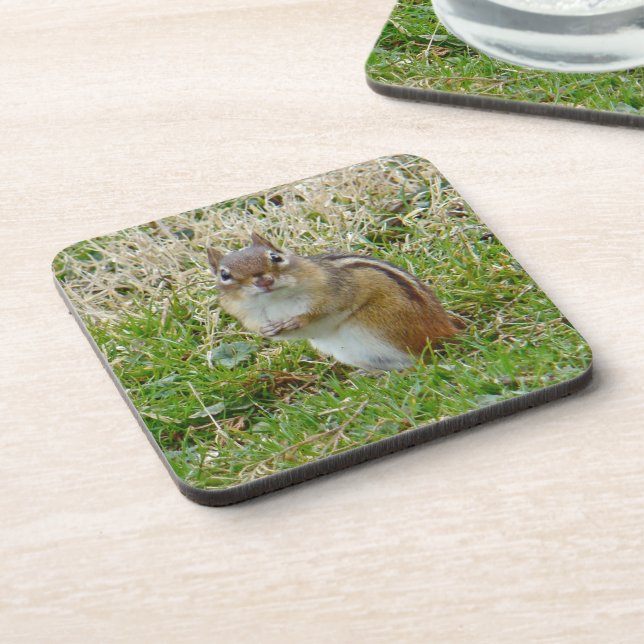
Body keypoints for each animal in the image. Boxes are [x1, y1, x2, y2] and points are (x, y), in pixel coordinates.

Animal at [207, 232, 460, 371]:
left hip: (375, 324)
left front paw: (299, 320)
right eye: (224, 275)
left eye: (275, 257)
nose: (264, 281)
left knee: (420, 360)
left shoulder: (335, 290)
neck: (275, 300)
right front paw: (268, 331)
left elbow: (325, 309)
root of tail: (446, 329)